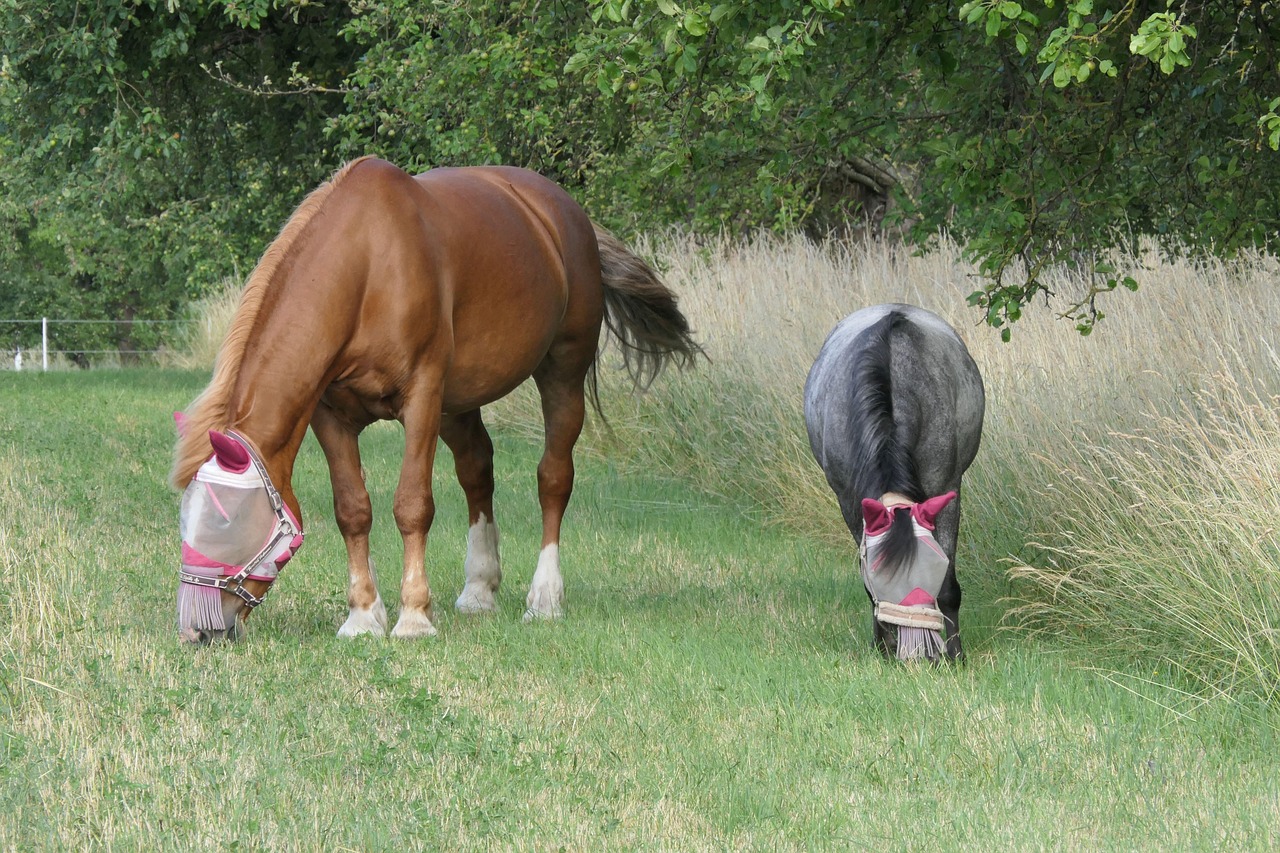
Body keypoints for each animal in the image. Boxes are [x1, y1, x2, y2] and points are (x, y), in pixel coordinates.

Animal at [170, 156, 701, 640]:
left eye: (226, 522)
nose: (196, 628)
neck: (368, 266)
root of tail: (566, 212)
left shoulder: (422, 397)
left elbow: (412, 505)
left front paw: (413, 618)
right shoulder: (331, 415)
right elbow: (352, 509)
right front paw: (363, 617)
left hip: (561, 373)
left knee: (553, 478)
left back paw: (544, 598)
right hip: (459, 403)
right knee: (477, 471)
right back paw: (479, 589)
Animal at [803, 302, 983, 660]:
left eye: (933, 569)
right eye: (881, 578)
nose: (918, 653)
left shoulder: (947, 490)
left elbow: (950, 587)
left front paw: (955, 653)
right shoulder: (849, 501)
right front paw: (882, 645)